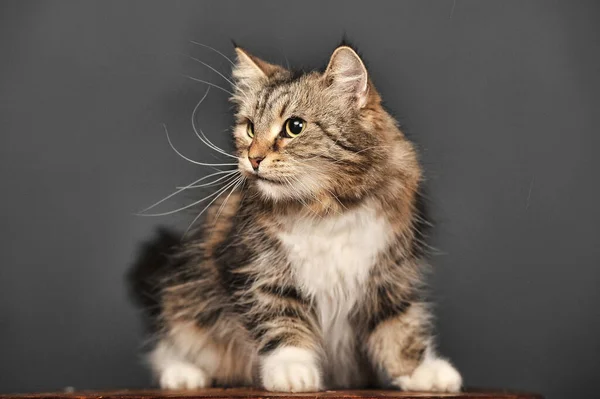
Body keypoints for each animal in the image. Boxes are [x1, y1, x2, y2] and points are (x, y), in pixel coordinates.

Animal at [129, 41, 462, 394]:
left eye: (294, 127)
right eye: (250, 128)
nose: (254, 159)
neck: (328, 208)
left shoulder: (388, 275)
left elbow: (400, 328)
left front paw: (422, 372)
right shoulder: (260, 271)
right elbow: (282, 323)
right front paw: (292, 371)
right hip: (184, 295)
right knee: (169, 342)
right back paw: (184, 374)